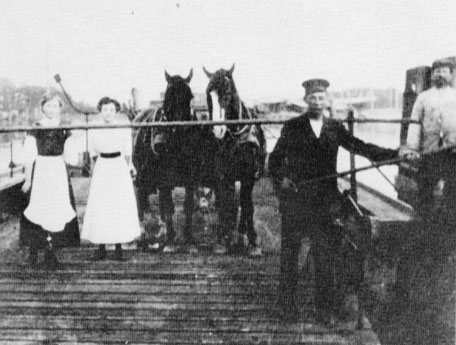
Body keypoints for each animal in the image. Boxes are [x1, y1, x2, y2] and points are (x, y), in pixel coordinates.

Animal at [133, 69, 218, 250]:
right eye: (168, 96)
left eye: (189, 96)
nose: (179, 126)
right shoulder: (164, 179)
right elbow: (168, 206)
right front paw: (170, 238)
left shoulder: (190, 180)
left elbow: (187, 206)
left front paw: (188, 237)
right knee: (142, 202)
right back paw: (144, 236)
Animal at [204, 63, 268, 254]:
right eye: (208, 94)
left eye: (226, 92)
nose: (217, 130)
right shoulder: (223, 175)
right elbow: (225, 204)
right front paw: (223, 240)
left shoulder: (249, 176)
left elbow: (247, 205)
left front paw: (252, 241)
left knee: (244, 203)